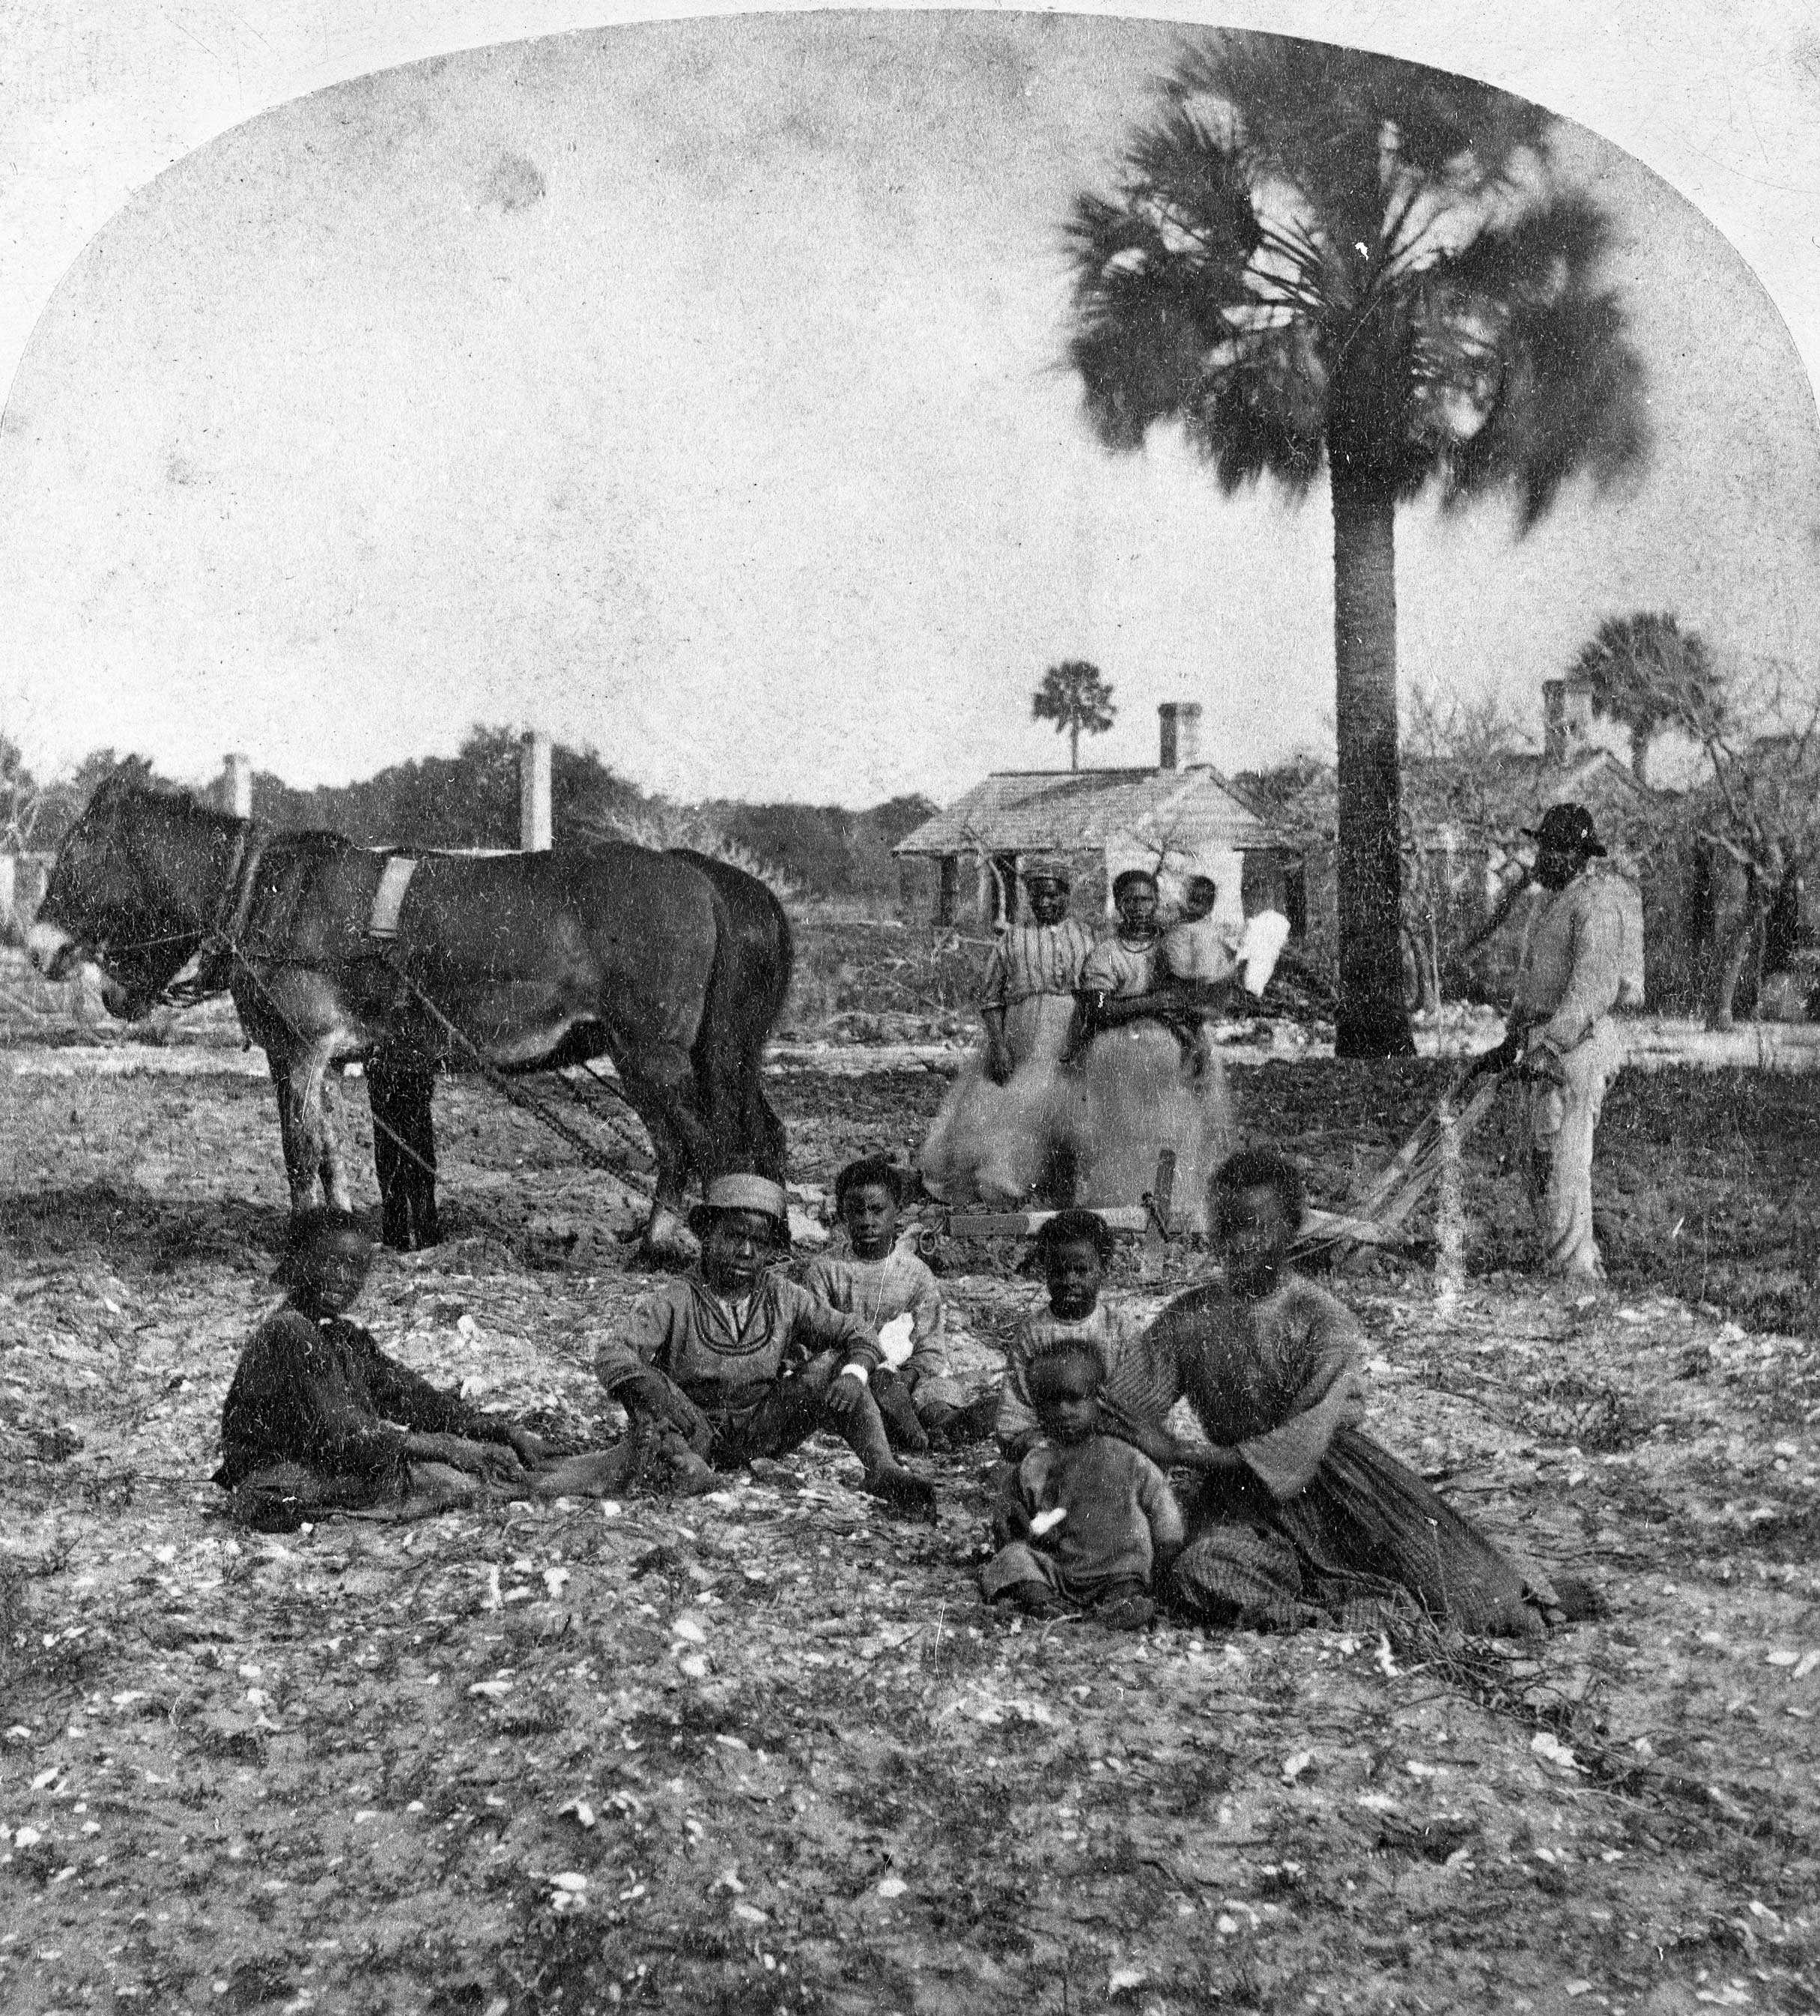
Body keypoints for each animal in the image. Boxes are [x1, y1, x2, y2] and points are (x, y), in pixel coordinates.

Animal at [28, 769, 794, 1258]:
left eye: (78, 851)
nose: (39, 948)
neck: (263, 892)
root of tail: (698, 877)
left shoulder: (300, 1049)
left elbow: (299, 1151)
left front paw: (300, 1240)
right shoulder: (316, 1056)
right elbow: (329, 1149)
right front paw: (338, 1228)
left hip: (650, 1055)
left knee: (703, 1144)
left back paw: (679, 1245)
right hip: (689, 1056)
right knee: (732, 1140)